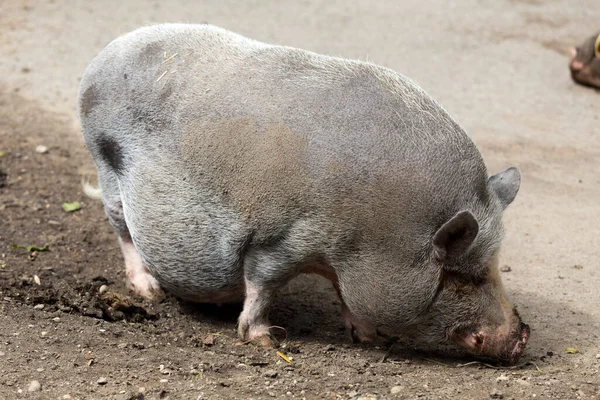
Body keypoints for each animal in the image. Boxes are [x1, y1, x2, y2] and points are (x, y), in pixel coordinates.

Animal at [78, 23, 528, 364]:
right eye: (465, 276)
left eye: (494, 265)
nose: (522, 337)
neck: (376, 235)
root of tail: (103, 57)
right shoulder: (281, 238)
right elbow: (262, 285)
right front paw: (264, 339)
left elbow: (346, 295)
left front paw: (369, 338)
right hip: (104, 163)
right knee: (120, 227)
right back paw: (148, 290)